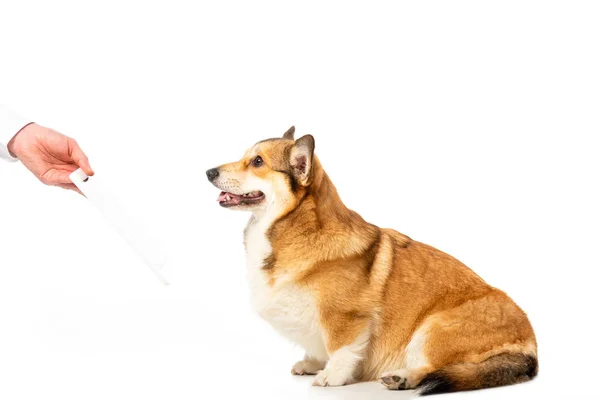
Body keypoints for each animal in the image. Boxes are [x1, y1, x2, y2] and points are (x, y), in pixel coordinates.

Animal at [207, 127, 540, 394]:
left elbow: (340, 349)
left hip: (432, 328)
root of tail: (531, 345)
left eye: (257, 162)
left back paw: (402, 378)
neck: (296, 226)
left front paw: (331, 376)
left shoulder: (344, 317)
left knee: (433, 368)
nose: (209, 172)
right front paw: (312, 363)